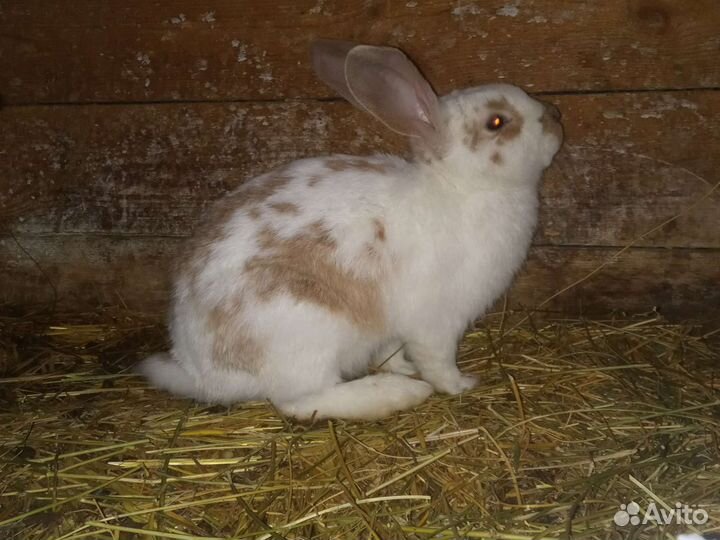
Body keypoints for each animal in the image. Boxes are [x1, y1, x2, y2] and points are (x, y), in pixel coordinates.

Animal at [138, 39, 563, 421]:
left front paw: (404, 368)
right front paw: (460, 385)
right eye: (497, 122)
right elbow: (437, 361)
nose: (556, 116)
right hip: (306, 332)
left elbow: (391, 351)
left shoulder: (395, 328)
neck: (461, 186)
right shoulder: (436, 322)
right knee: (300, 401)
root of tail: (198, 370)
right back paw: (399, 394)